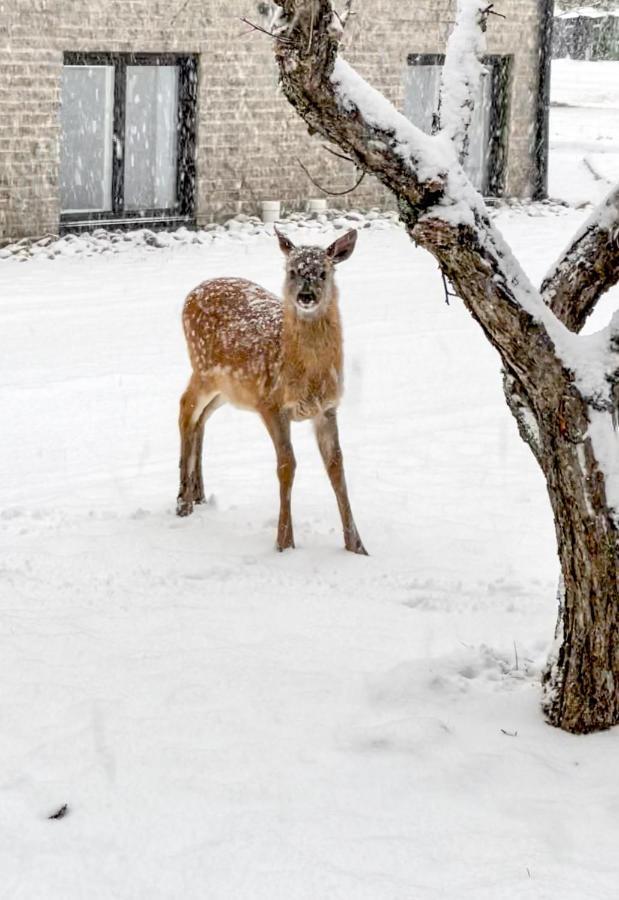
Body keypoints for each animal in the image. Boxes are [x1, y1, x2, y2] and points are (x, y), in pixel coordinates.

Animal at [174, 227, 368, 556]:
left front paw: (357, 546)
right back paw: (183, 502)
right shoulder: (271, 403)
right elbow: (287, 465)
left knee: (201, 419)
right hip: (204, 369)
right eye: (292, 271)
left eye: (323, 272)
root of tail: (191, 292)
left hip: (229, 389)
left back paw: (198, 494)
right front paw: (284, 543)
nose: (306, 296)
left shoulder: (327, 407)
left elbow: (336, 466)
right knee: (185, 408)